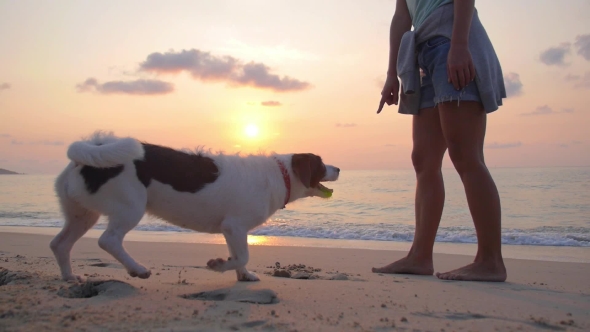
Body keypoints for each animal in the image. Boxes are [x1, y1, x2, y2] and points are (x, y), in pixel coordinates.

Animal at [49, 131, 342, 282]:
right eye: (320, 163)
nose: (338, 168)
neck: (280, 174)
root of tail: (90, 151)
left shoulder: (232, 230)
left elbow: (240, 257)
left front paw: (243, 275)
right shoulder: (235, 226)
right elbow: (242, 255)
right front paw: (219, 266)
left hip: (82, 214)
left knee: (60, 244)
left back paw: (69, 278)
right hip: (130, 207)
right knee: (108, 240)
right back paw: (137, 269)